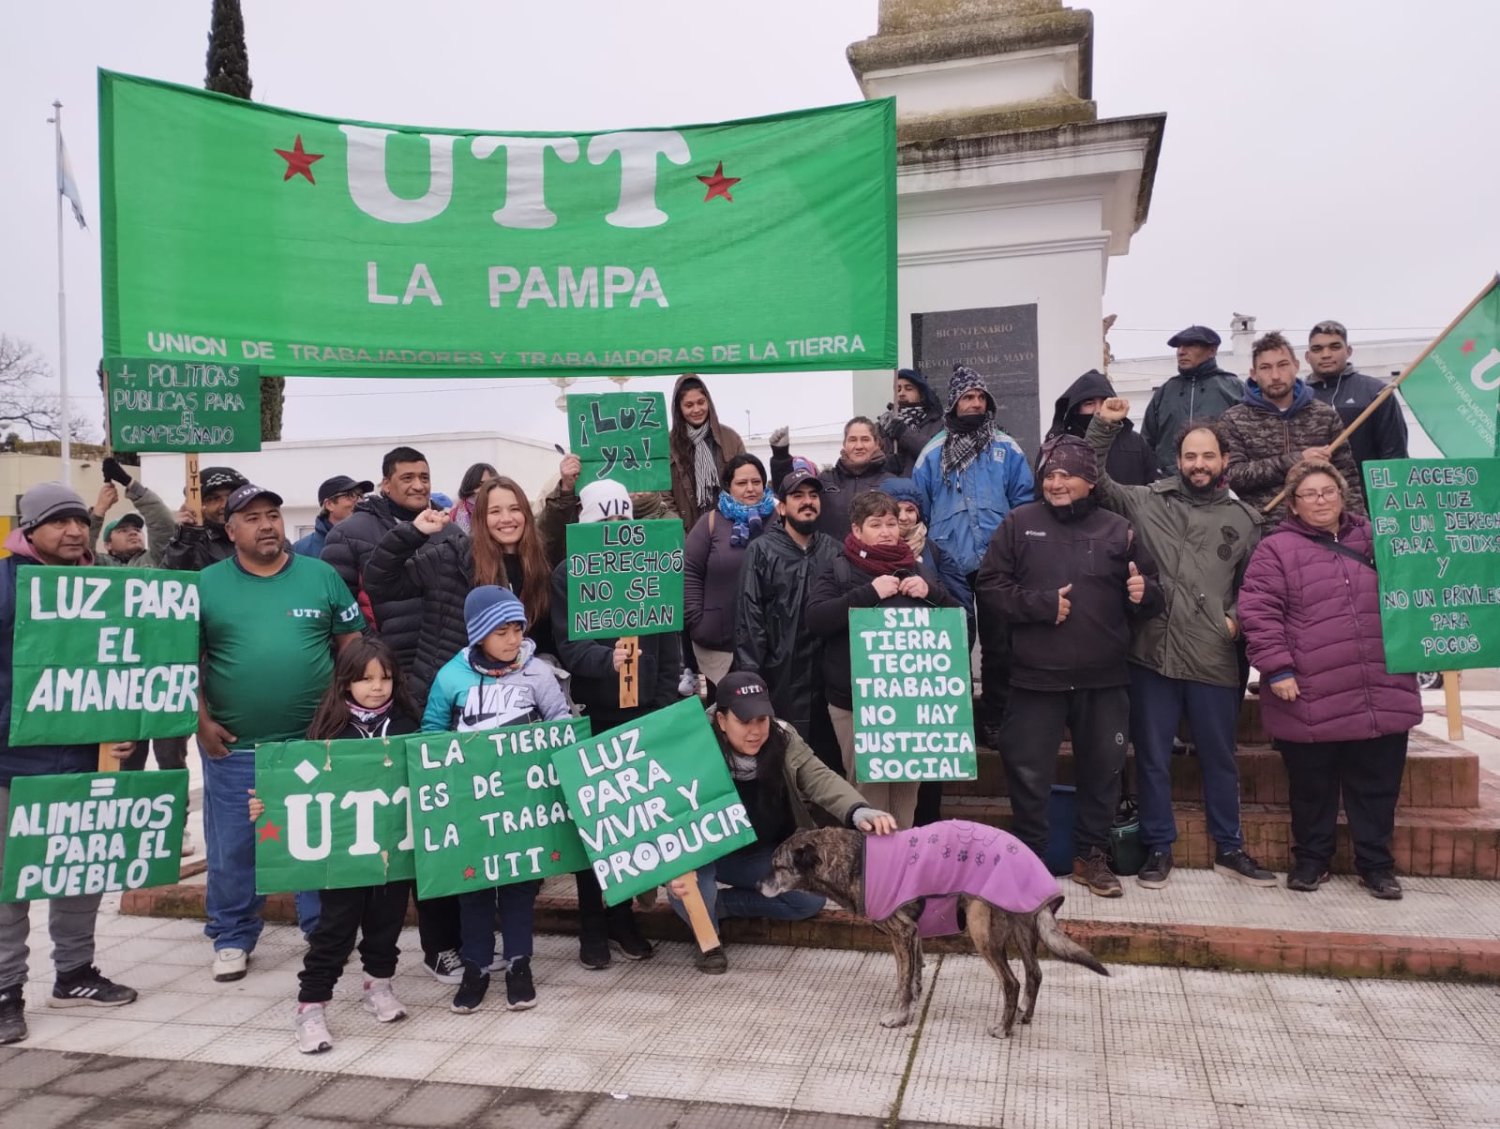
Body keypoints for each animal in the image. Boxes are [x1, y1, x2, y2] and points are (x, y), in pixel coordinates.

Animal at [762, 815, 1104, 1037]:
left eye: (777, 867)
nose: (756, 885)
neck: (855, 861)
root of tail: (1032, 861)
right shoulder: (913, 935)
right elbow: (913, 977)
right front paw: (912, 1003)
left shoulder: (902, 934)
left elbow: (902, 982)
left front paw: (899, 1018)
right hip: (1023, 926)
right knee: (1034, 974)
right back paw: (1025, 1015)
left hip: (982, 931)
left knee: (1012, 982)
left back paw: (1002, 1029)